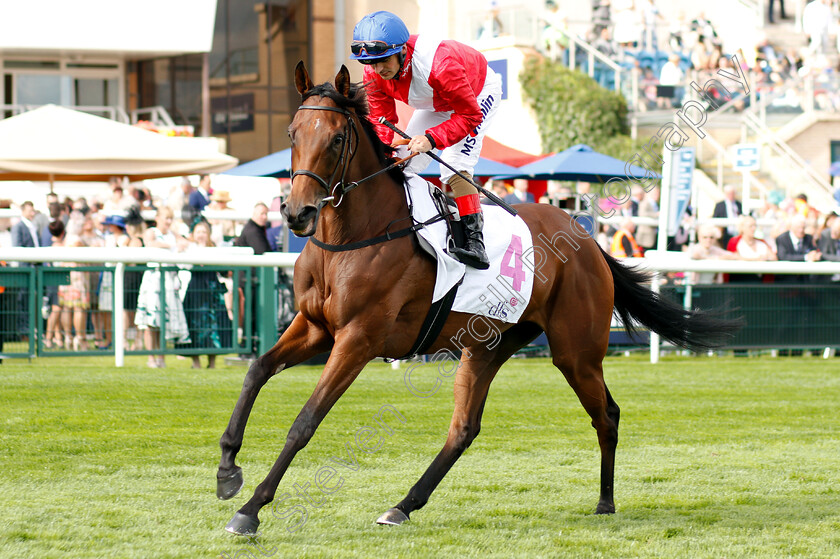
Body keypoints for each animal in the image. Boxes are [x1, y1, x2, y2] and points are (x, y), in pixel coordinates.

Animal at [218, 62, 740, 540]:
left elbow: (305, 421)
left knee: (605, 414)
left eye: (337, 138)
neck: (354, 236)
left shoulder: (357, 339)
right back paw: (402, 506)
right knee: (464, 428)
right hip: (487, 346)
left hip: (576, 351)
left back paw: (606, 501)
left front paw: (250, 509)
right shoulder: (313, 326)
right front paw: (227, 469)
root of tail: (587, 240)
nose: (297, 213)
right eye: (292, 133)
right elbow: (257, 369)